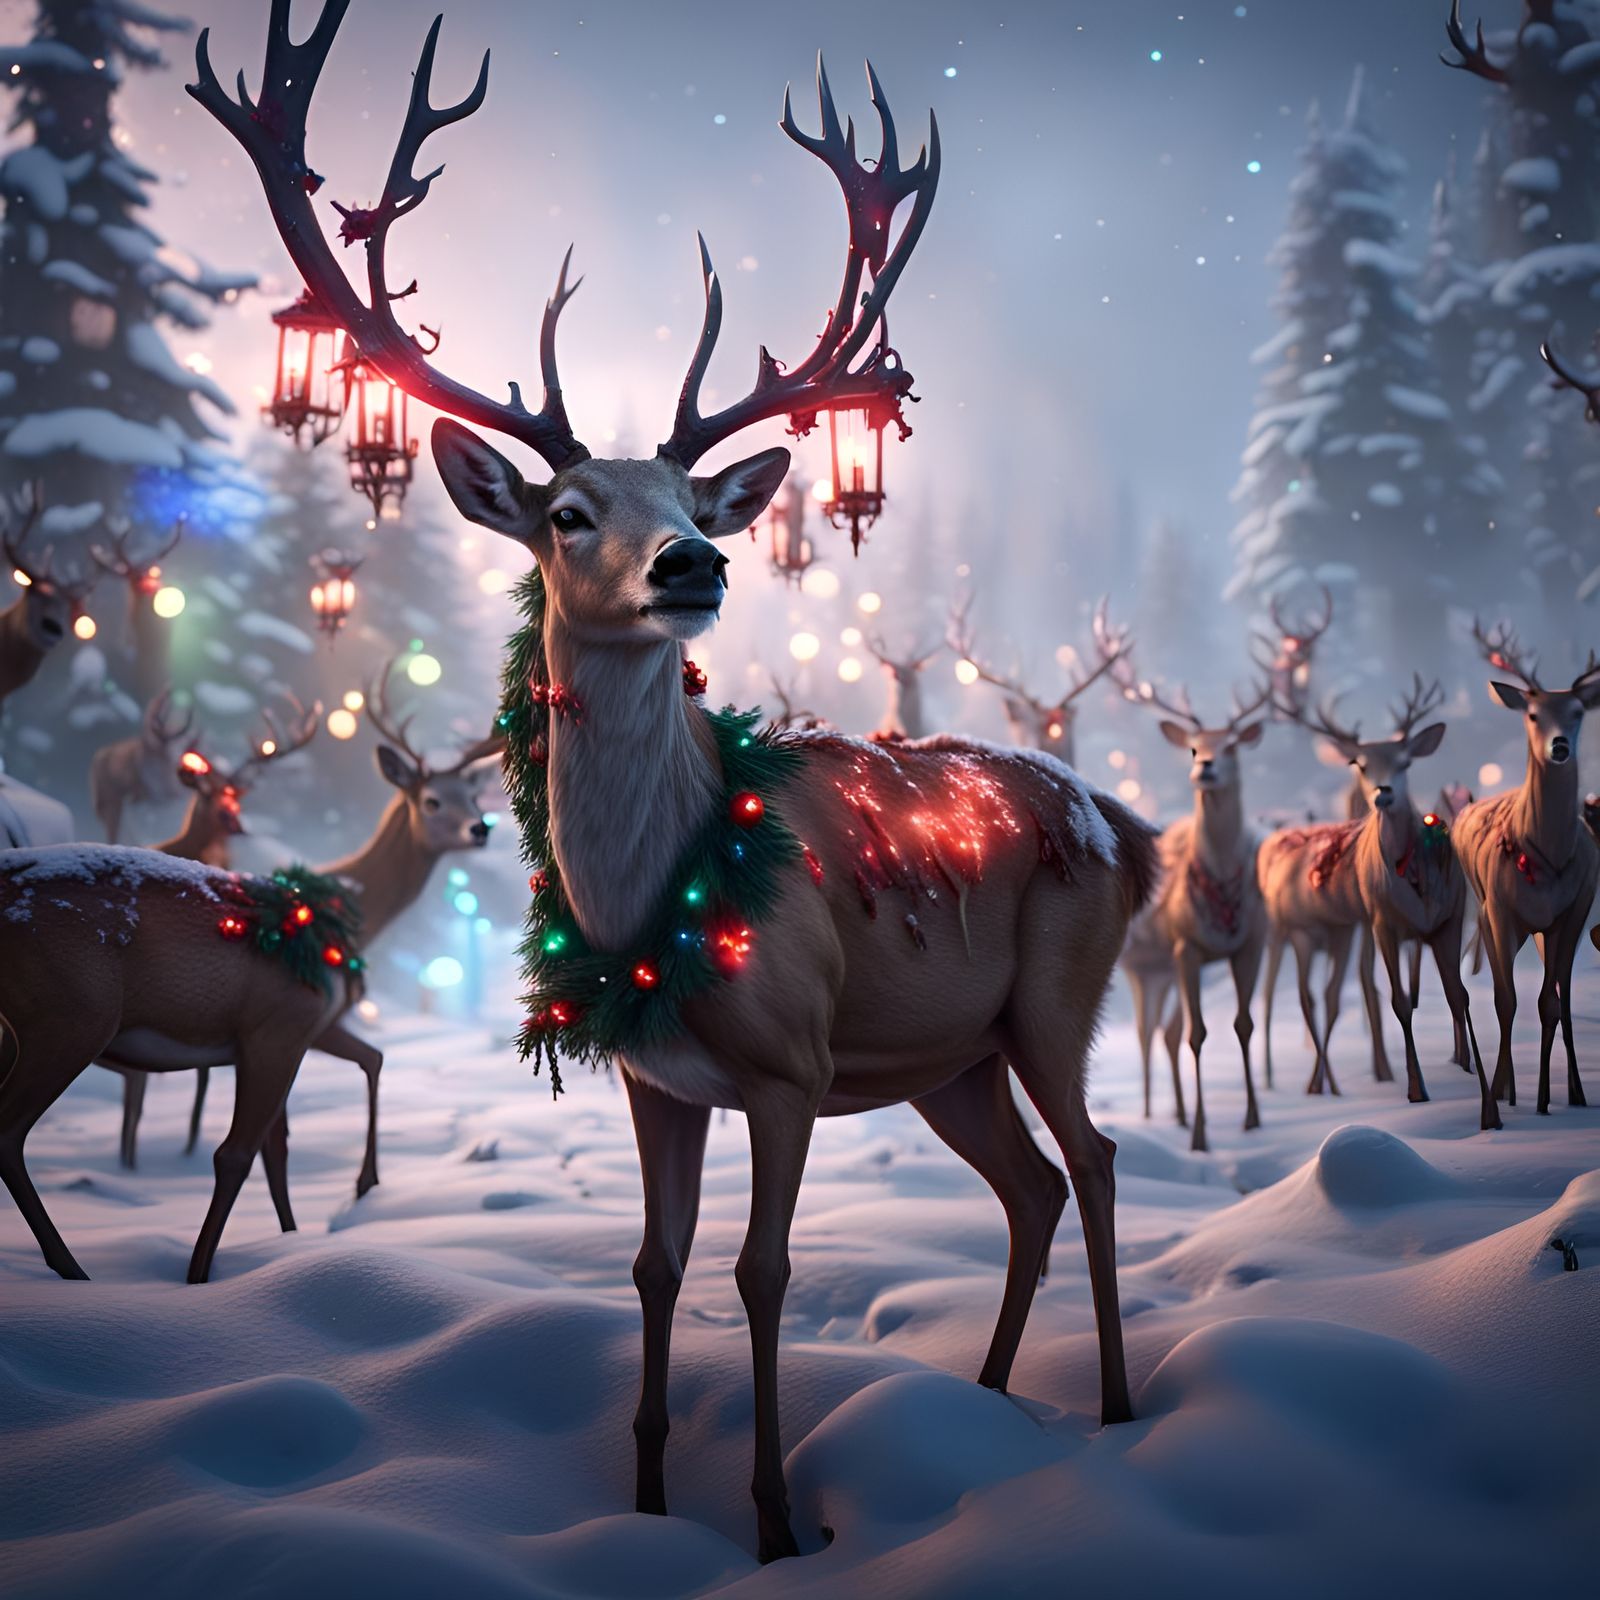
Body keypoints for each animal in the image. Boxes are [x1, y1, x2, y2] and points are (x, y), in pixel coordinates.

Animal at [1258, 678, 1492, 1122]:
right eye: (1359, 763)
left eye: (1405, 761)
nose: (1383, 794)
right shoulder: (1382, 921)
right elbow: (1400, 1002)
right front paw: (1417, 1089)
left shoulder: (1450, 918)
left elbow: (1459, 995)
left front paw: (1477, 1082)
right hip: (1299, 930)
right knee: (1303, 995)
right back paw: (1315, 1084)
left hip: (1340, 930)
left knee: (1331, 994)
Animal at [1451, 619, 1600, 1116]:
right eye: (1533, 714)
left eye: (1578, 711)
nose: (1560, 746)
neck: (1545, 857)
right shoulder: (1499, 910)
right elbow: (1505, 1000)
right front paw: (1499, 1097)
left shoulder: (1571, 913)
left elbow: (1549, 1005)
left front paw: (1547, 1101)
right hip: (1487, 913)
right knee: (1504, 988)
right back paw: (1509, 1090)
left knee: (1561, 998)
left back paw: (1569, 1092)